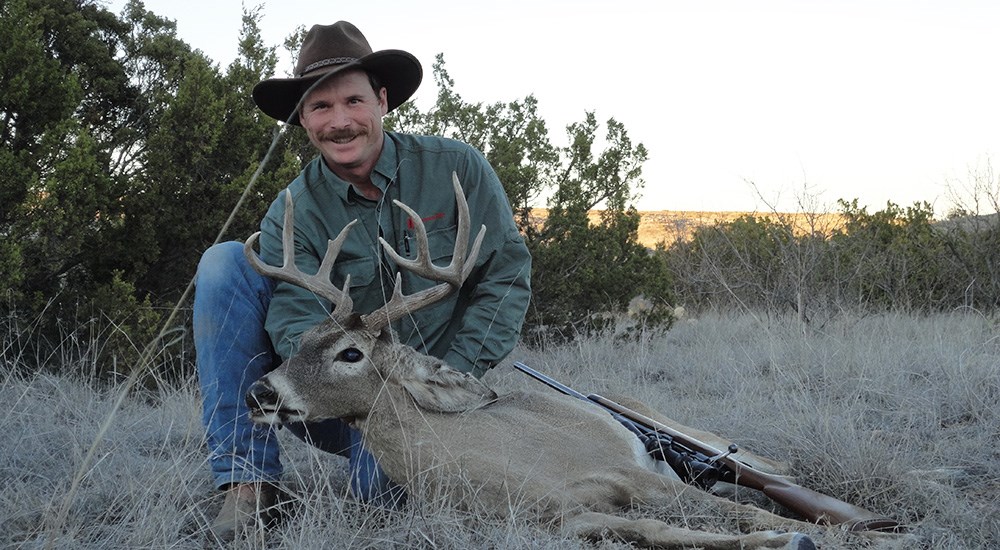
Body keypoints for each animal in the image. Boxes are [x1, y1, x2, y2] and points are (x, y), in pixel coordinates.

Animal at [242, 176, 820, 550]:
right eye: (302, 341)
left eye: (350, 353)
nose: (261, 393)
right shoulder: (562, 519)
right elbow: (658, 530)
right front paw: (783, 535)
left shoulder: (627, 472)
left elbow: (736, 508)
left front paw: (799, 530)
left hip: (673, 424)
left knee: (764, 465)